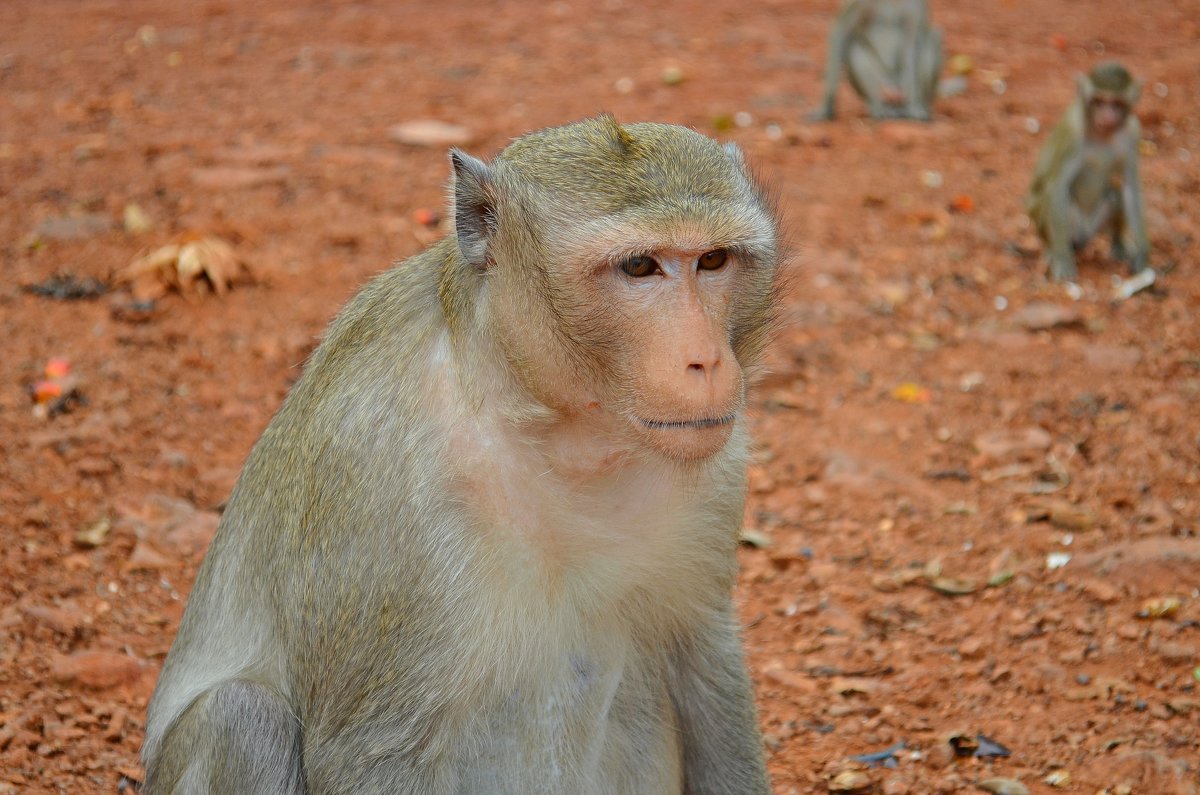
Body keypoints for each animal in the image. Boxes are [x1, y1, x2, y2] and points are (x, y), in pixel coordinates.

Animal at [140, 113, 777, 795]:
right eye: (639, 266)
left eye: (712, 259)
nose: (705, 360)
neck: (548, 424)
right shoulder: (376, 467)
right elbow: (373, 752)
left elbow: (702, 660)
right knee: (242, 716)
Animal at [811, 0, 940, 121]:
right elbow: (843, 27)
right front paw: (826, 109)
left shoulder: (917, 5)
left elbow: (913, 40)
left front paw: (914, 107)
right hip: (883, 85)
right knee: (854, 45)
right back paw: (878, 107)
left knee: (932, 37)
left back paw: (914, 107)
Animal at [1027, 61, 1147, 283]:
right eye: (1098, 101)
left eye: (1116, 103)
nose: (1106, 115)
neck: (1103, 133)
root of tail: (1084, 236)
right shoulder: (1072, 132)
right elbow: (1057, 187)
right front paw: (1062, 258)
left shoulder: (1133, 132)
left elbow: (1130, 187)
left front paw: (1144, 253)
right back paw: (1053, 249)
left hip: (1094, 227)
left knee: (1115, 192)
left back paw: (1117, 244)